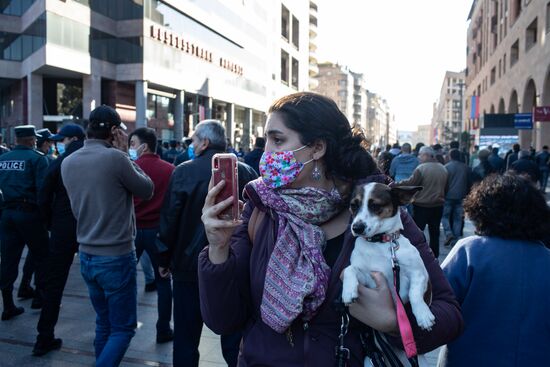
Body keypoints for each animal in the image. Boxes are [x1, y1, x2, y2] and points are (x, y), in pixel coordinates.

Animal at [342, 183, 438, 332]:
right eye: (353, 205)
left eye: (375, 206)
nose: (356, 227)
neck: (379, 243)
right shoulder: (368, 279)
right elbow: (349, 269)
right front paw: (348, 291)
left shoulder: (419, 274)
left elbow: (414, 293)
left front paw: (423, 314)